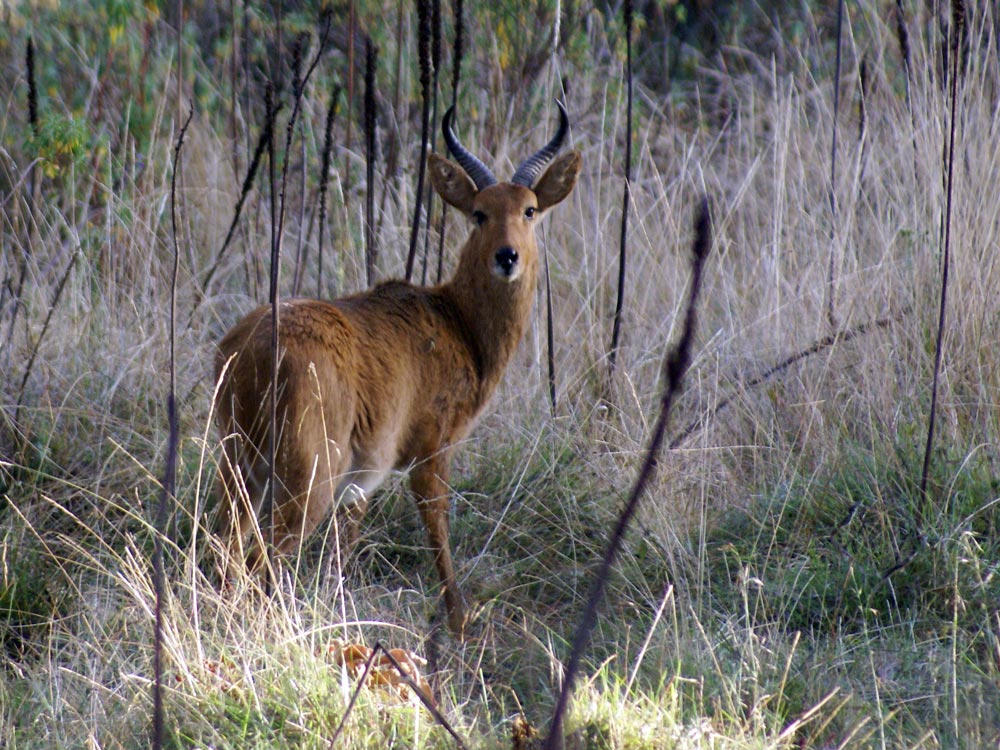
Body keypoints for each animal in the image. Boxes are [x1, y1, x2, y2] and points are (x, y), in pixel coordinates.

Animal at [215, 103, 584, 636]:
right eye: (479, 212)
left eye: (529, 209)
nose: (507, 256)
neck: (458, 324)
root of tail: (251, 348)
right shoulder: (431, 450)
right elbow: (438, 526)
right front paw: (460, 619)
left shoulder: (359, 485)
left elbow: (344, 550)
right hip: (305, 478)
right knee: (257, 560)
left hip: (242, 467)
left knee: (224, 548)